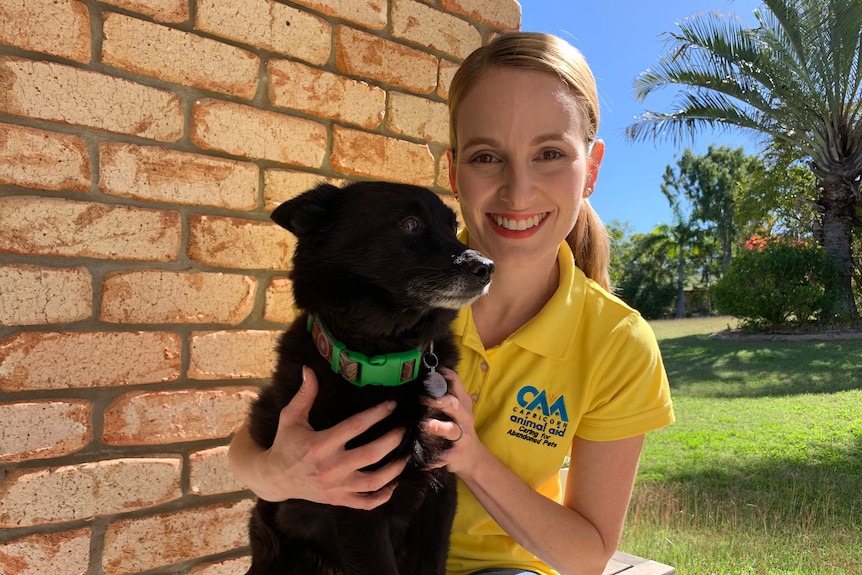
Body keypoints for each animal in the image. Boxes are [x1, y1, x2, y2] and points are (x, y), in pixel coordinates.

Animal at [246, 181, 496, 575]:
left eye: (452, 225)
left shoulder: (441, 486)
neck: (386, 359)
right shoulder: (356, 502)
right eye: (409, 224)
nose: (487, 268)